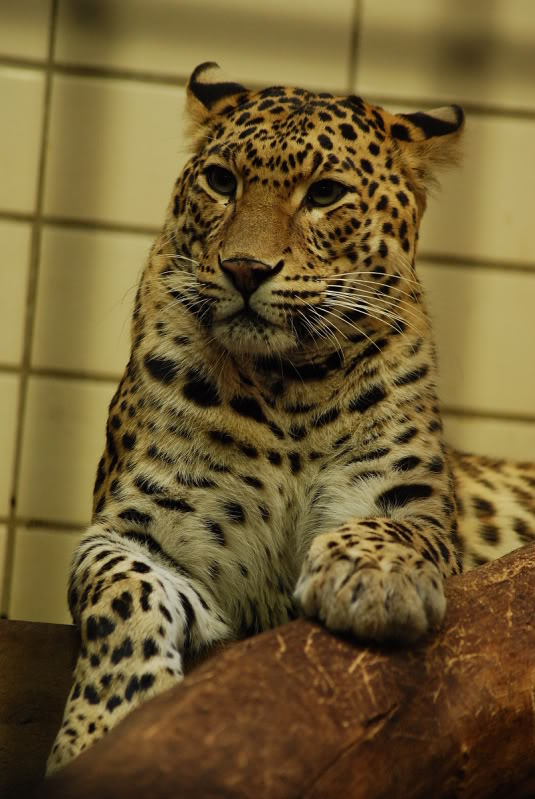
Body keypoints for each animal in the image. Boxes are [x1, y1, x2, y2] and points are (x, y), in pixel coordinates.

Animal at [46, 62, 535, 775]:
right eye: (222, 181)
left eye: (325, 193)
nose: (245, 269)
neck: (289, 387)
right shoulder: (140, 531)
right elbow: (122, 592)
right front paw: (101, 729)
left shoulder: (415, 508)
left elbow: (395, 528)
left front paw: (374, 582)